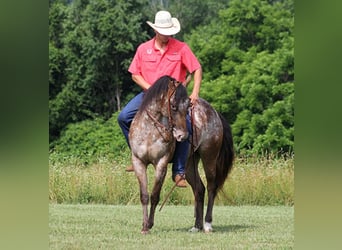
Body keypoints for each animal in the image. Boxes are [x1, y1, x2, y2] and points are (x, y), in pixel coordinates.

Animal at [129, 75, 235, 233]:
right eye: (173, 106)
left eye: (187, 107)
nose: (182, 136)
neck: (150, 132)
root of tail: (215, 113)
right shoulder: (139, 162)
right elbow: (144, 195)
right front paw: (144, 226)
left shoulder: (161, 163)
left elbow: (155, 195)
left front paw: (149, 224)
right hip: (190, 164)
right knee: (199, 189)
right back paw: (196, 226)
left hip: (209, 157)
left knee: (211, 187)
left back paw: (207, 224)